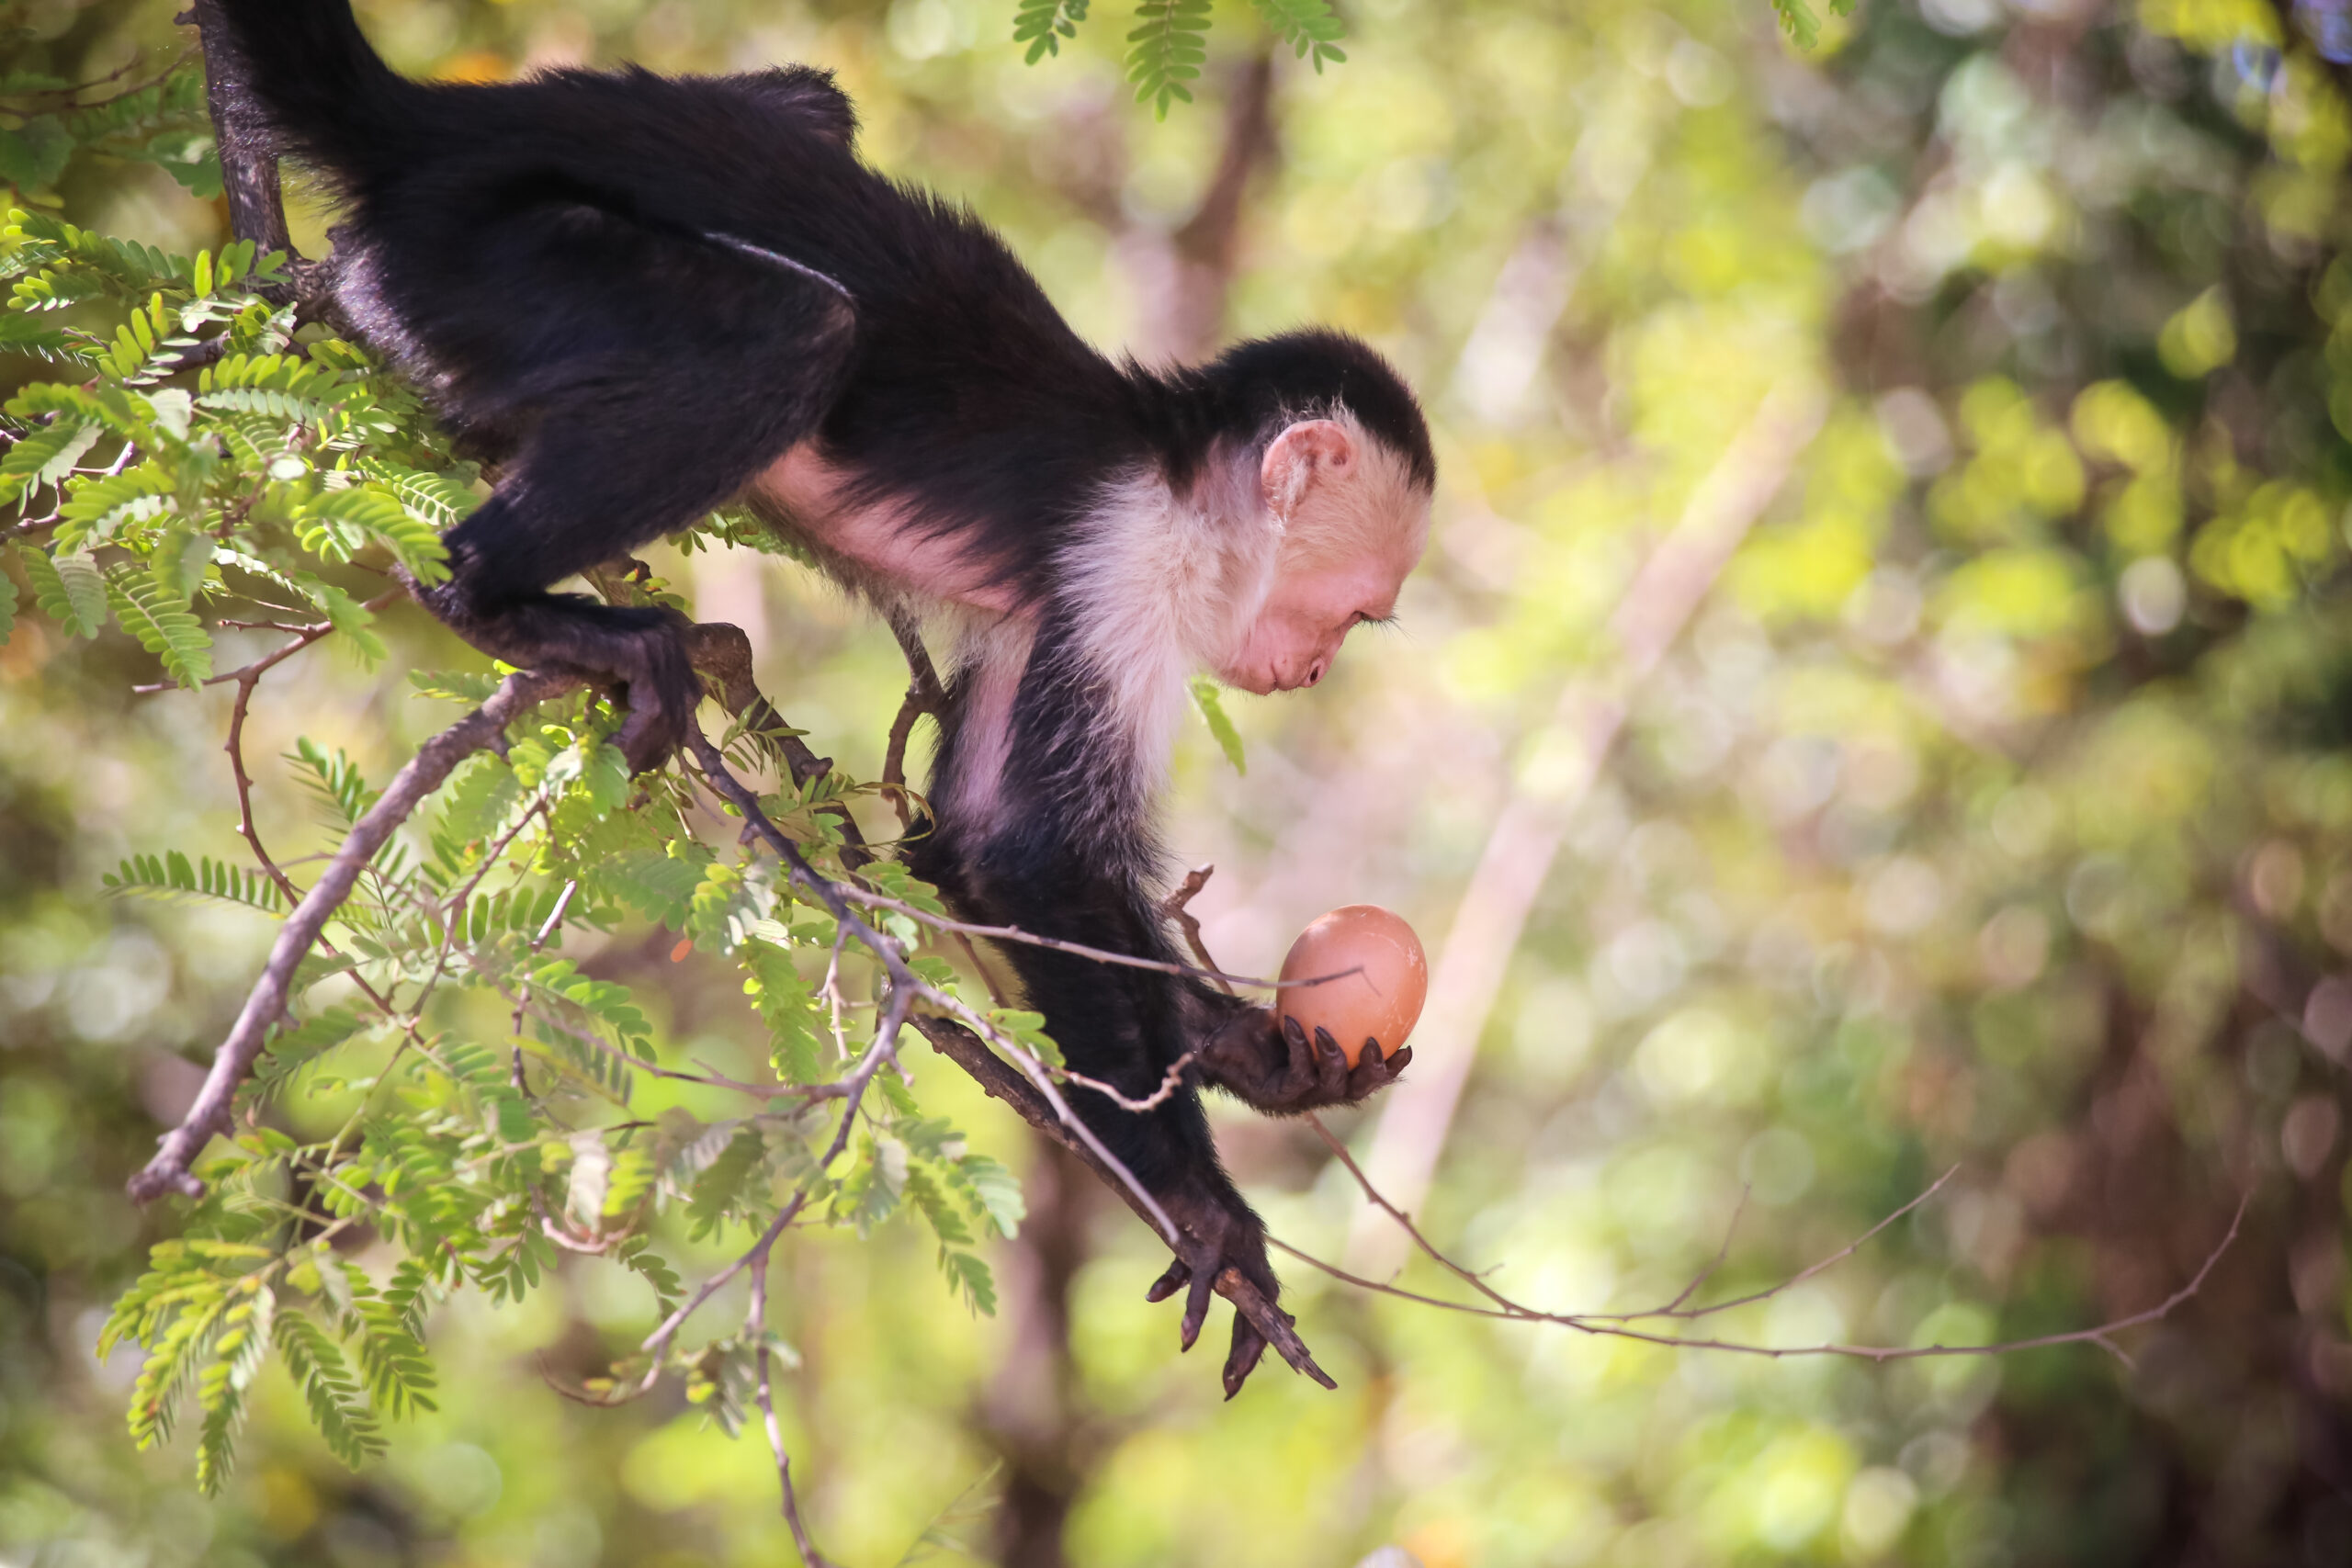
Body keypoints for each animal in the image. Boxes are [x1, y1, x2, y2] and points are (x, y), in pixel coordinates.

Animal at [211, 0, 1430, 1401]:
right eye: (1356, 614)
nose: (1319, 667)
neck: (1177, 472)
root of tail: (448, 122)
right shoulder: (1136, 562)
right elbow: (1032, 860)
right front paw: (1202, 1202)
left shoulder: (1067, 596)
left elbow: (965, 845)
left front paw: (1252, 1054)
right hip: (477, 252)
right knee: (792, 335)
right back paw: (501, 597)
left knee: (809, 108)